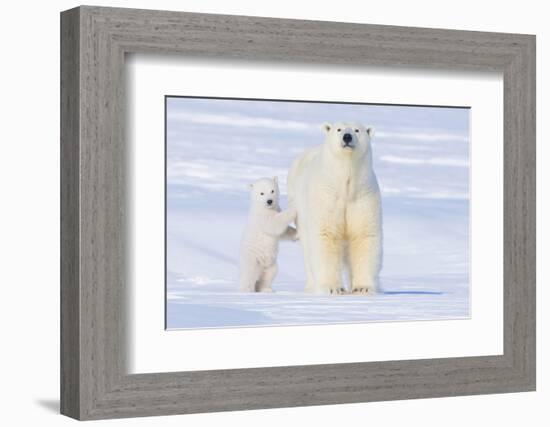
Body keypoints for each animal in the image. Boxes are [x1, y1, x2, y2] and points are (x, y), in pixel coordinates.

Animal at [288, 120, 384, 294]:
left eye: (357, 130)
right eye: (339, 129)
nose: (347, 137)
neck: (345, 185)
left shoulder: (363, 196)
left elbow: (363, 235)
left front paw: (363, 288)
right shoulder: (326, 196)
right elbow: (326, 235)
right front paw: (332, 288)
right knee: (307, 248)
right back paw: (311, 286)